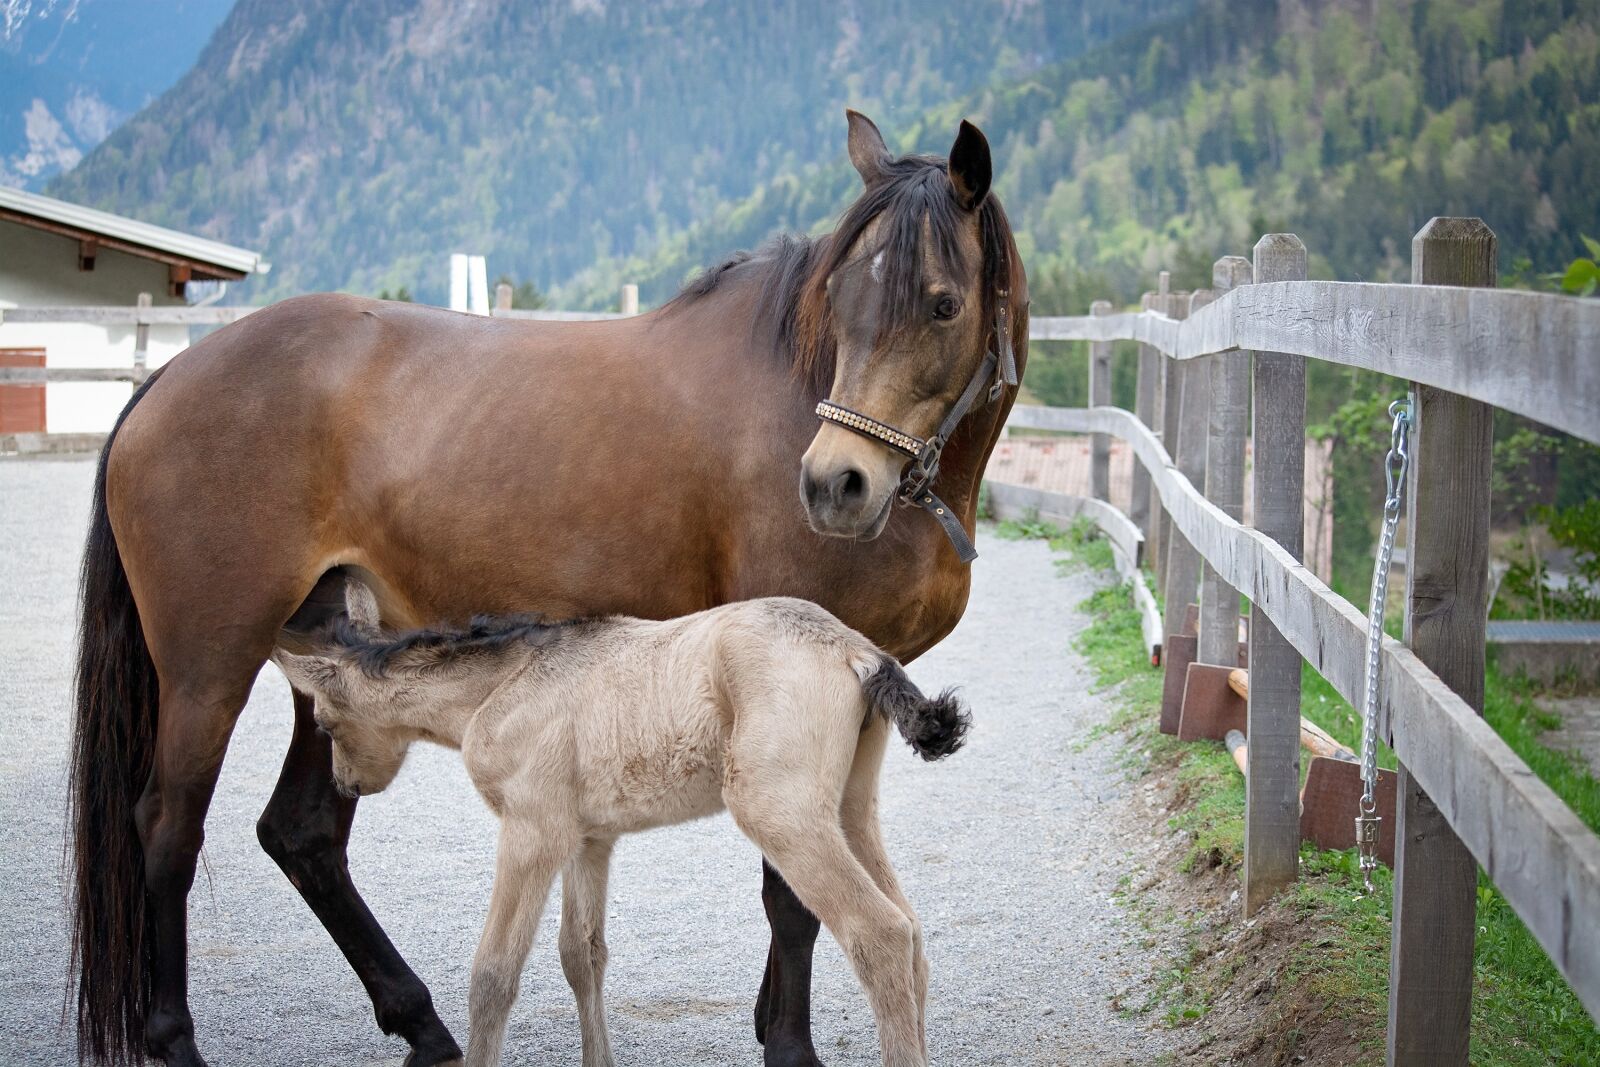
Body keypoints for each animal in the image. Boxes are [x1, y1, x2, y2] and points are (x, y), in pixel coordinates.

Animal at [272, 581, 970, 1067]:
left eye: (325, 724)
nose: (347, 783)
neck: (501, 687)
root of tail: (856, 650)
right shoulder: (589, 839)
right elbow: (581, 953)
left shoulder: (531, 830)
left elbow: (494, 972)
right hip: (848, 810)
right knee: (910, 932)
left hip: (781, 813)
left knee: (879, 933)